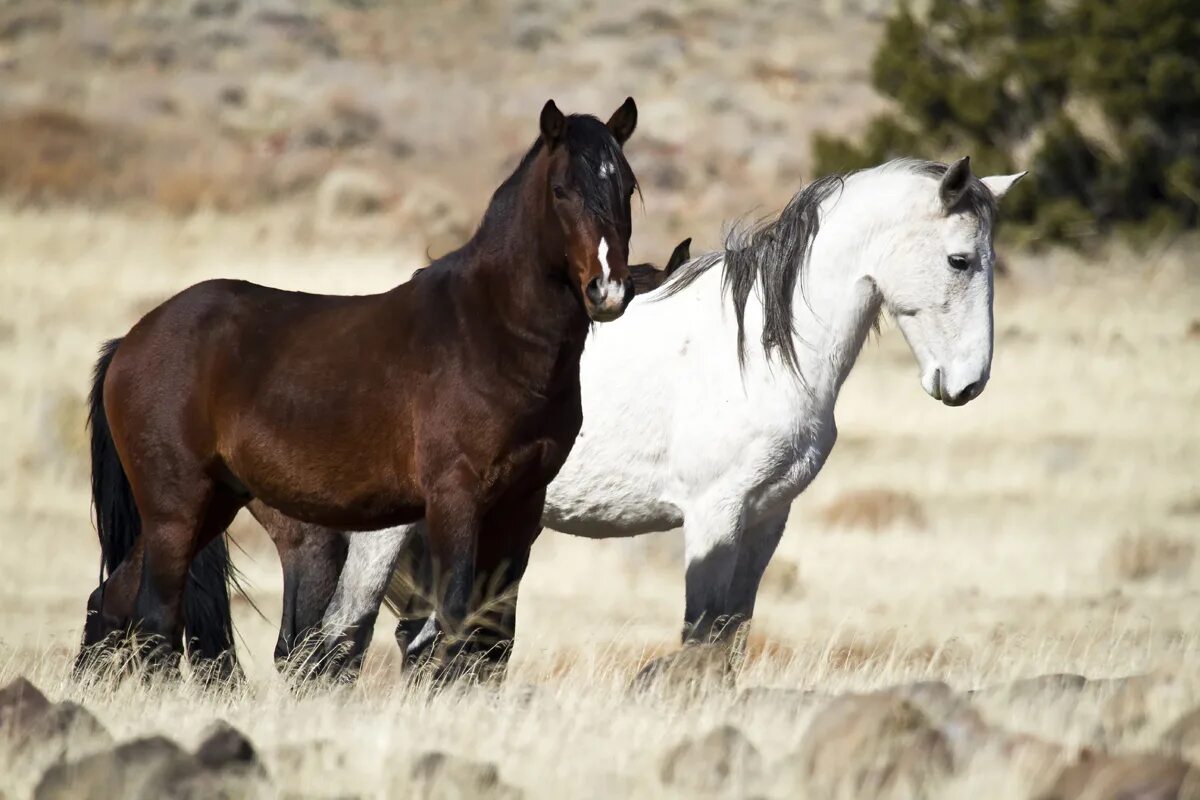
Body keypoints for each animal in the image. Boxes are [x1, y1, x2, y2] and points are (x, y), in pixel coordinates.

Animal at [79, 97, 643, 681]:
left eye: (627, 186)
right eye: (561, 190)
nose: (608, 289)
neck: (489, 331)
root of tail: (132, 340)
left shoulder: (521, 505)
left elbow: (492, 636)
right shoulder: (455, 499)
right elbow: (453, 618)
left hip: (211, 503)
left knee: (112, 601)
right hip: (177, 506)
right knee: (155, 617)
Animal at [278, 155, 1022, 671]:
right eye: (960, 260)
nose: (969, 383)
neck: (759, 352)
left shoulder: (767, 516)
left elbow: (729, 638)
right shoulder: (714, 514)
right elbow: (700, 634)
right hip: (387, 530)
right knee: (339, 639)